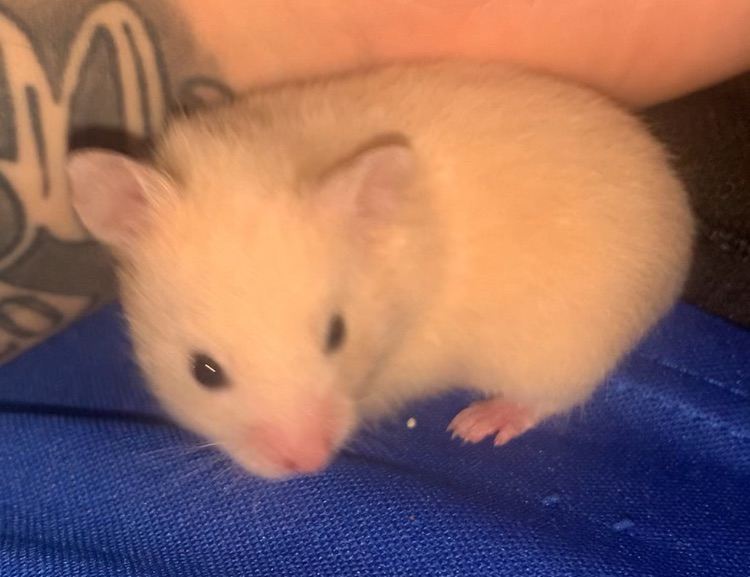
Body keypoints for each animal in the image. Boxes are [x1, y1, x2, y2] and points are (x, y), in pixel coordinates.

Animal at [66, 61, 694, 479]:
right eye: (203, 371)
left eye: (337, 333)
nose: (309, 464)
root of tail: (679, 223)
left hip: (563, 344)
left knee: (551, 396)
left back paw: (479, 423)